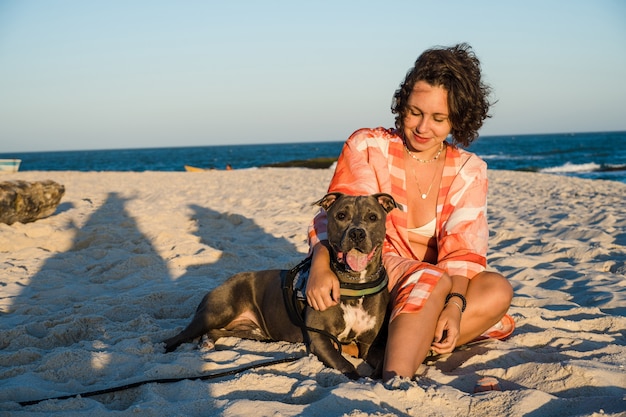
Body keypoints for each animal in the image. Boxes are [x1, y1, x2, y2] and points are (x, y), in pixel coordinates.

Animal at [161, 192, 394, 376]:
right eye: (341, 216)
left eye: (372, 217)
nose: (357, 233)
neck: (355, 284)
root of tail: (224, 281)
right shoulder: (320, 338)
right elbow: (348, 367)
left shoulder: (368, 343)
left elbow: (379, 363)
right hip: (216, 313)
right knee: (177, 337)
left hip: (251, 332)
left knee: (218, 332)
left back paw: (208, 341)